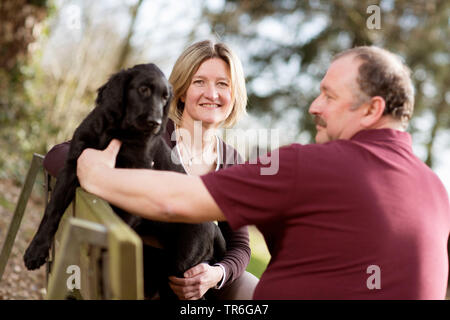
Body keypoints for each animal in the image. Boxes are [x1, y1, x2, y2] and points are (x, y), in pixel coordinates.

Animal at [23, 63, 227, 298]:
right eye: (143, 89)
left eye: (165, 98)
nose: (155, 123)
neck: (117, 131)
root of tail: (215, 229)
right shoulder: (74, 164)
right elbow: (52, 210)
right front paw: (36, 250)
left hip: (182, 264)